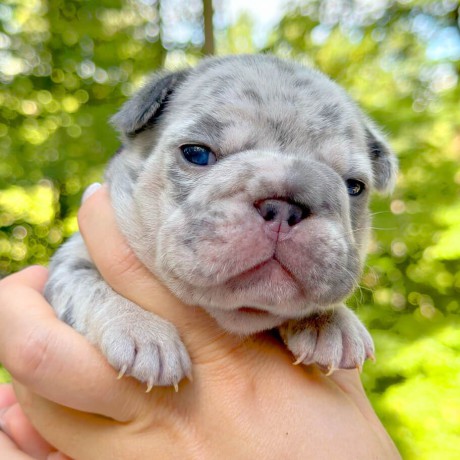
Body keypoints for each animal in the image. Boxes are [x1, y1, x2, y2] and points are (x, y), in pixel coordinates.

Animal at [45, 55, 396, 390]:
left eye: (353, 187)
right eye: (196, 153)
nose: (284, 206)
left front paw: (333, 322)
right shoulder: (70, 261)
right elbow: (87, 286)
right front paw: (141, 329)